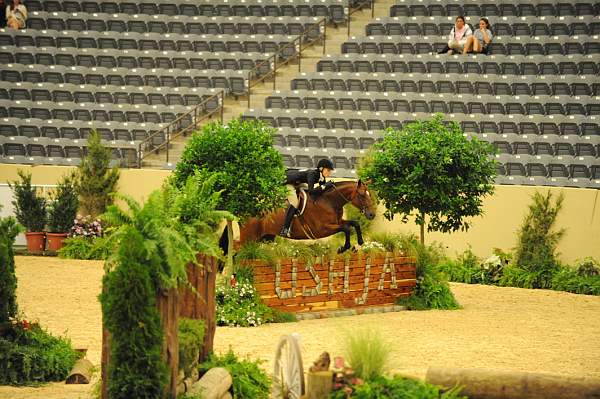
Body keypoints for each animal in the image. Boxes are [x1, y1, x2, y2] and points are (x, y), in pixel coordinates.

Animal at [220, 180, 376, 255]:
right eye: (362, 195)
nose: (371, 214)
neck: (330, 201)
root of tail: (244, 212)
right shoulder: (322, 229)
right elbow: (347, 228)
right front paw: (344, 248)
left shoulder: (337, 222)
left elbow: (354, 223)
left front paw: (359, 242)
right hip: (249, 238)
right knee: (234, 248)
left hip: (263, 238)